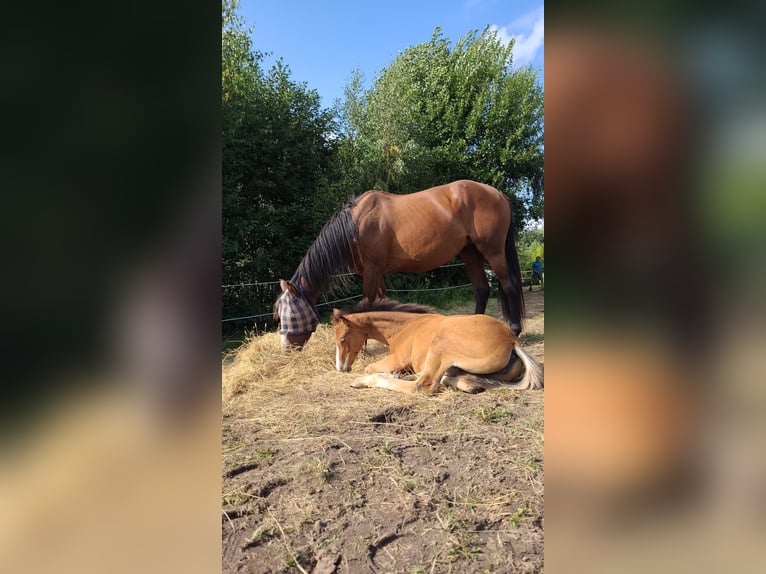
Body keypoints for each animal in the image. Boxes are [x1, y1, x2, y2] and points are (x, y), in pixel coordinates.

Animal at [272, 180, 524, 352]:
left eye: (291, 314)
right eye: (278, 313)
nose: (286, 349)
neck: (355, 226)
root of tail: (498, 193)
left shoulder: (372, 270)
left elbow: (368, 303)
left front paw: (363, 345)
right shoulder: (378, 272)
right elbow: (380, 303)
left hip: (492, 250)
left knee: (508, 284)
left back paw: (515, 329)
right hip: (470, 252)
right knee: (482, 288)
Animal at [332, 302, 544, 396]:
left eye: (342, 339)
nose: (341, 368)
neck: (405, 326)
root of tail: (512, 341)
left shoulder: (398, 358)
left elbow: (370, 368)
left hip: (440, 346)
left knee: (424, 384)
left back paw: (364, 381)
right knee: (456, 378)